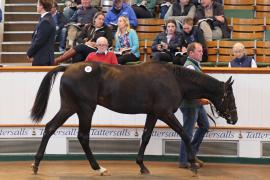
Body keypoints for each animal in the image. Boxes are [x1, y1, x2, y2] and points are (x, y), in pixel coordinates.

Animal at [31, 61, 237, 176]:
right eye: (230, 97)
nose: (234, 118)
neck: (174, 80)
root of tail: (68, 67)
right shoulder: (165, 113)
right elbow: (184, 134)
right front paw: (193, 164)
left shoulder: (153, 113)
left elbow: (145, 137)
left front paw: (142, 166)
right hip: (85, 108)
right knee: (82, 136)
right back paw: (99, 168)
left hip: (69, 107)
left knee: (50, 128)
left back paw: (35, 164)